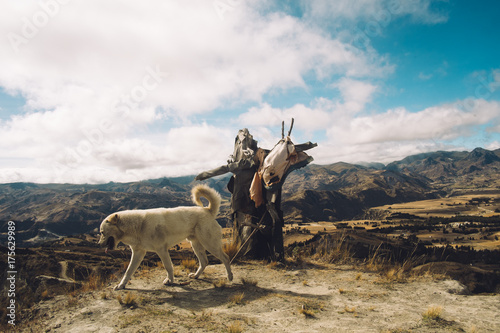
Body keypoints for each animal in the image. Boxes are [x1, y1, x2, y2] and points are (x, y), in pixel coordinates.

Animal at [98, 183, 233, 290]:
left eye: (102, 232)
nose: (99, 245)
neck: (138, 225)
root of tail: (207, 210)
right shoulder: (138, 253)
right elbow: (128, 271)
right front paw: (121, 285)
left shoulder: (161, 250)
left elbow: (168, 267)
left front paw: (170, 281)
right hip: (196, 244)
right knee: (204, 261)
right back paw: (195, 275)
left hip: (209, 244)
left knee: (225, 258)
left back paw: (230, 277)